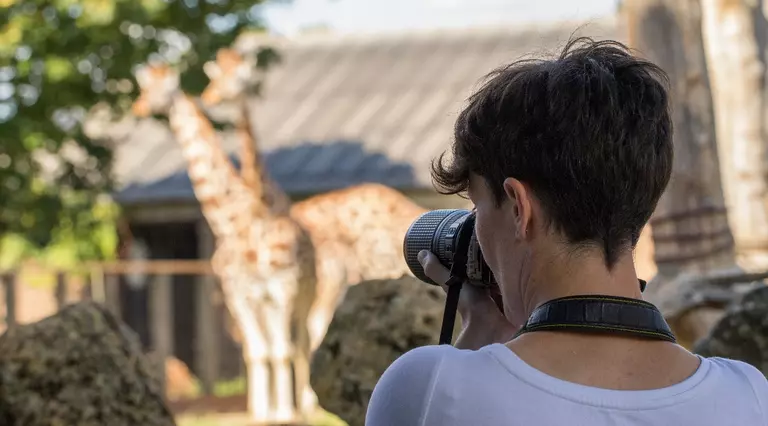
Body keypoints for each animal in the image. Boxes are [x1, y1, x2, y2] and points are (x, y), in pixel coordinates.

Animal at [130, 63, 316, 422]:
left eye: (158, 89)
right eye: (144, 88)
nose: (139, 107)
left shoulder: (279, 288)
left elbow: (279, 350)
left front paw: (284, 412)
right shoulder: (240, 294)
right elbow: (259, 352)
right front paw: (263, 411)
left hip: (304, 294)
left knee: (300, 344)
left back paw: (304, 404)